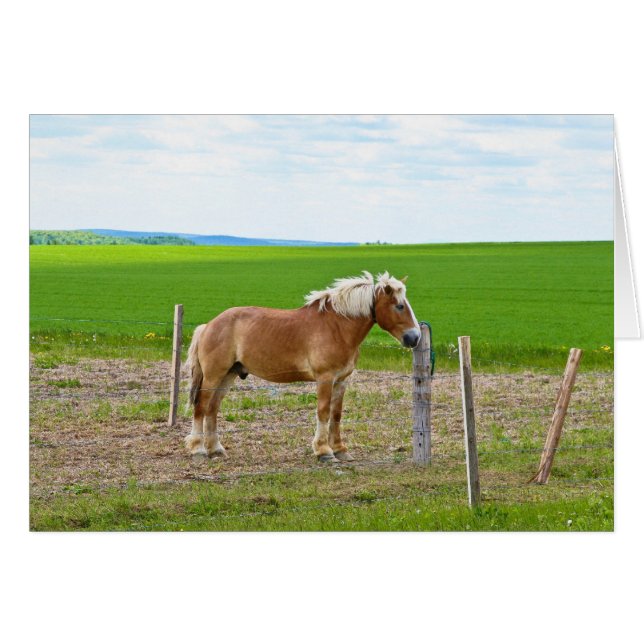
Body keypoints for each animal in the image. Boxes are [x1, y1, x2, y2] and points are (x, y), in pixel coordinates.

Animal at [184, 271, 421, 463]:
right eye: (400, 305)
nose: (415, 337)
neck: (337, 327)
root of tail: (209, 325)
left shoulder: (341, 381)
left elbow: (336, 414)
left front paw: (340, 450)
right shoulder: (325, 379)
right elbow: (323, 412)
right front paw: (324, 451)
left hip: (228, 376)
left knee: (212, 409)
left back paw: (216, 449)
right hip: (213, 376)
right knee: (201, 407)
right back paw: (198, 450)